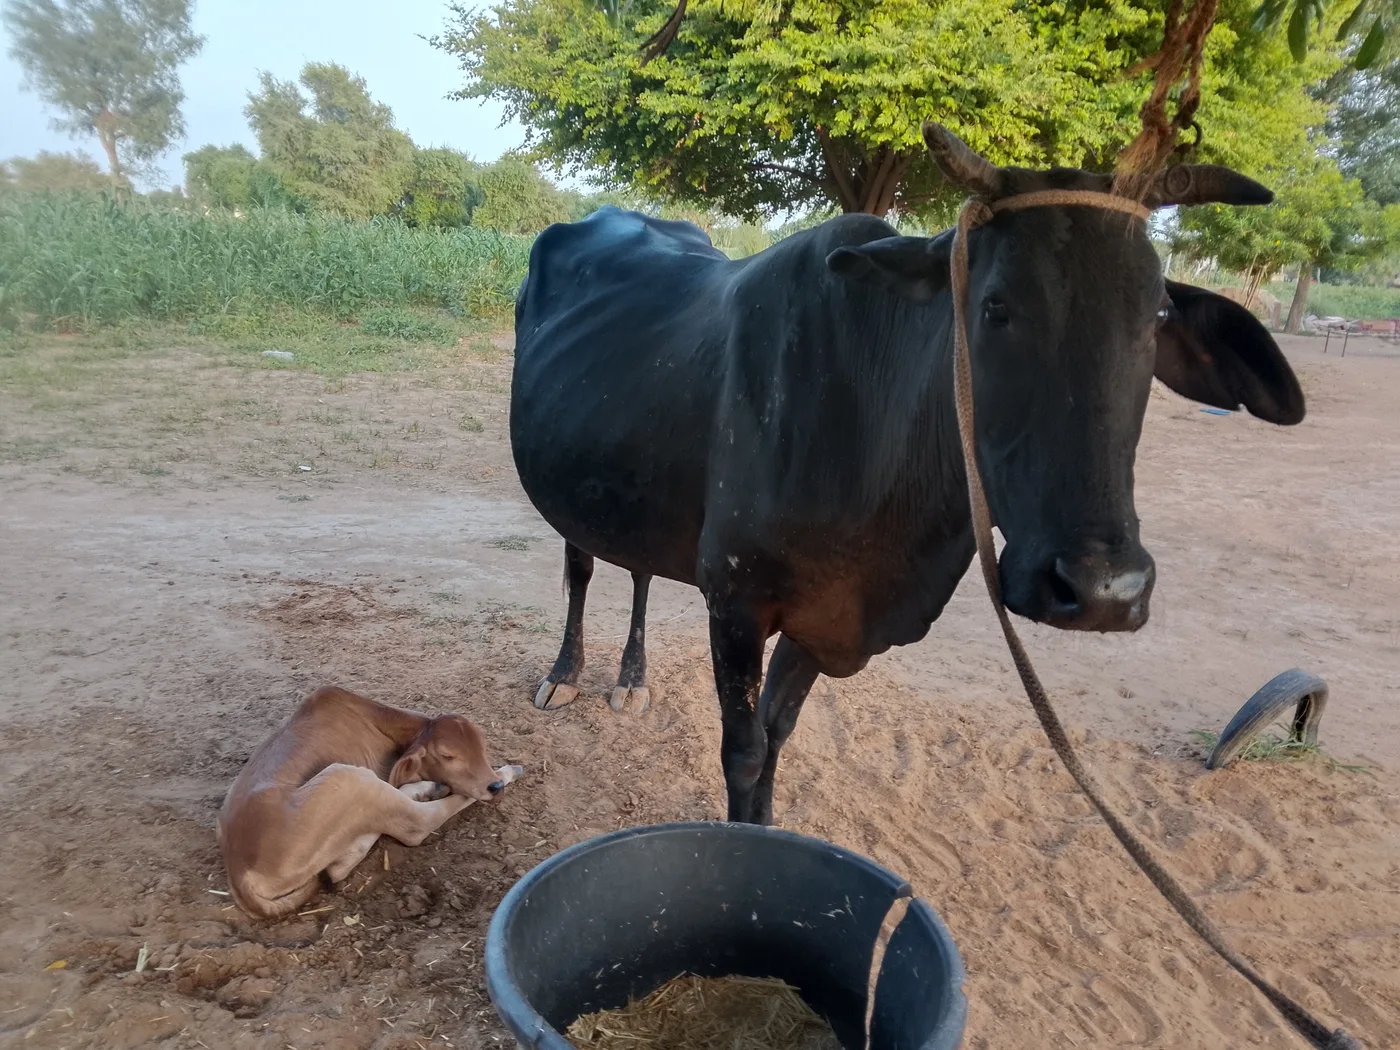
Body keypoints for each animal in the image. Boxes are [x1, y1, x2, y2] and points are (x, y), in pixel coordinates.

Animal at [509, 123, 1304, 825]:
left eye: (1158, 315)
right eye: (994, 306)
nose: (1104, 589)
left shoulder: (823, 621)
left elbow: (776, 738)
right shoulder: (735, 602)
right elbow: (743, 751)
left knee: (639, 565)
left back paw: (632, 680)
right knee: (583, 563)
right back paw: (566, 675)